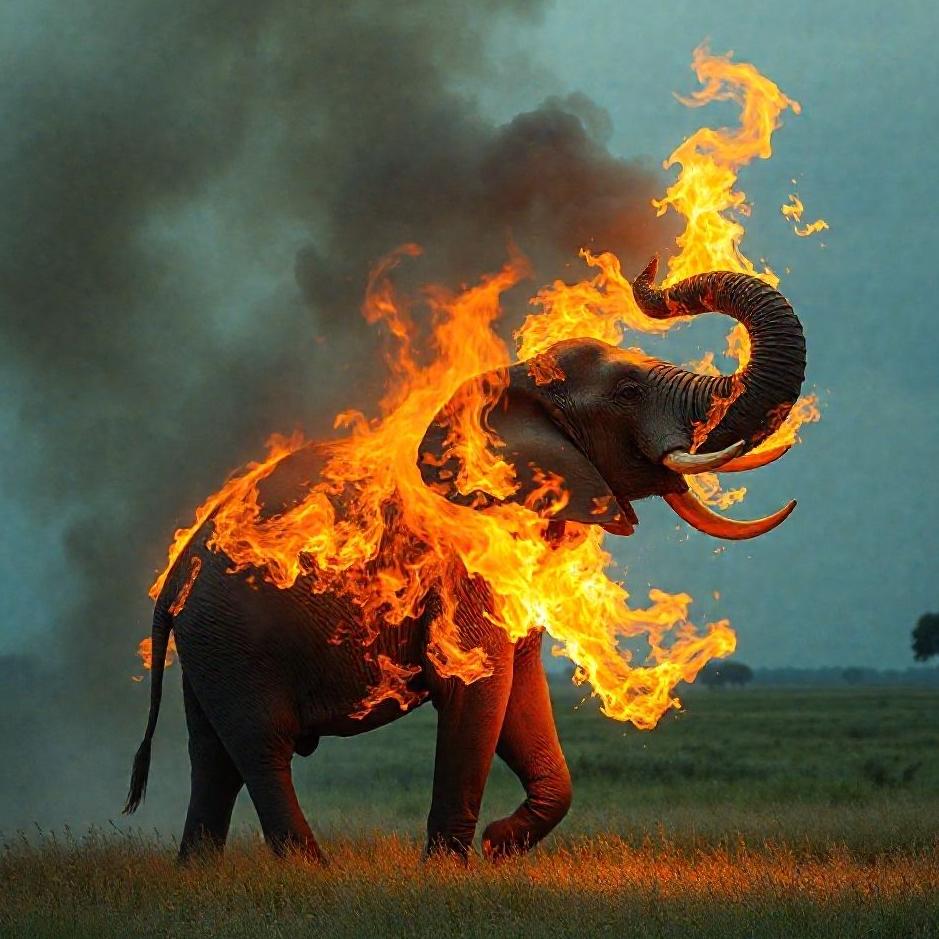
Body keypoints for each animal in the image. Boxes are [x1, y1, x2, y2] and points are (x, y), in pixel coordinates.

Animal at [124, 259, 806, 862]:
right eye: (629, 389)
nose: (649, 273)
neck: (511, 382)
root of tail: (172, 578)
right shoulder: (466, 567)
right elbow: (478, 687)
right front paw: (448, 870)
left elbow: (521, 688)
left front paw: (500, 846)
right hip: (234, 639)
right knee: (261, 749)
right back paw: (311, 872)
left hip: (210, 642)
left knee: (212, 757)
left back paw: (198, 872)